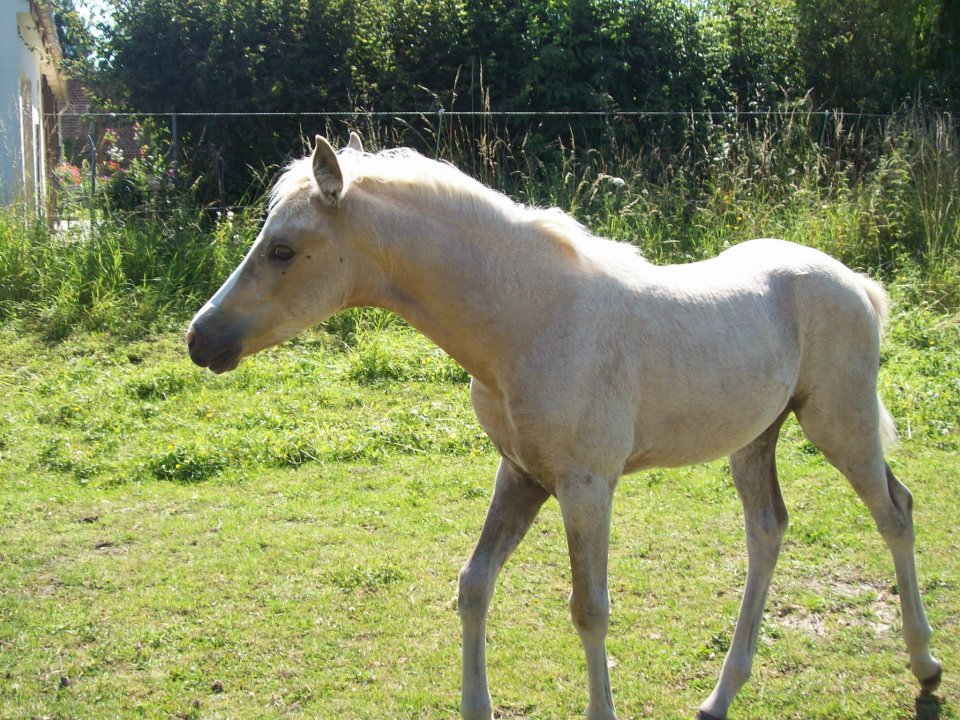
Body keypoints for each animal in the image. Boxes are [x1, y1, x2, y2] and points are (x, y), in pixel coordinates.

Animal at [184, 135, 940, 720]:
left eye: (283, 250)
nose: (200, 338)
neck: (528, 321)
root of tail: (856, 281)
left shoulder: (585, 485)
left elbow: (589, 608)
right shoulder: (521, 474)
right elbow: (474, 583)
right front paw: (476, 705)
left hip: (838, 422)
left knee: (895, 512)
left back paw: (926, 665)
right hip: (756, 436)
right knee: (768, 531)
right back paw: (720, 696)